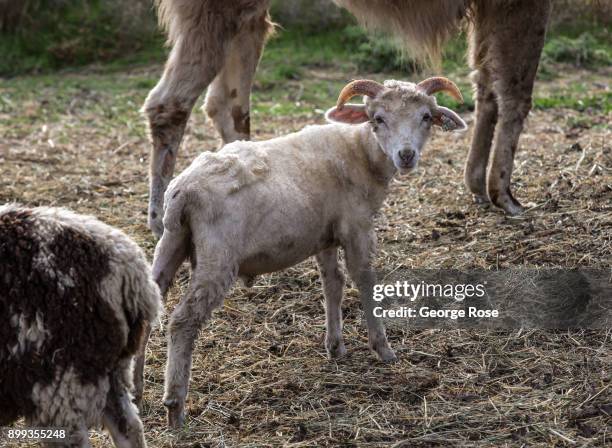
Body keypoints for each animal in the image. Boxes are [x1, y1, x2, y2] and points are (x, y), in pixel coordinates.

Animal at [153, 78, 468, 428]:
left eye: (426, 117)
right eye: (378, 119)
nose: (407, 155)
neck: (360, 153)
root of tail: (184, 191)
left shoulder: (325, 236)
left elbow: (333, 283)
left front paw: (335, 347)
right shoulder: (356, 227)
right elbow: (364, 281)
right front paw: (383, 349)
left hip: (171, 242)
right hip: (217, 258)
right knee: (183, 322)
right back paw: (175, 406)